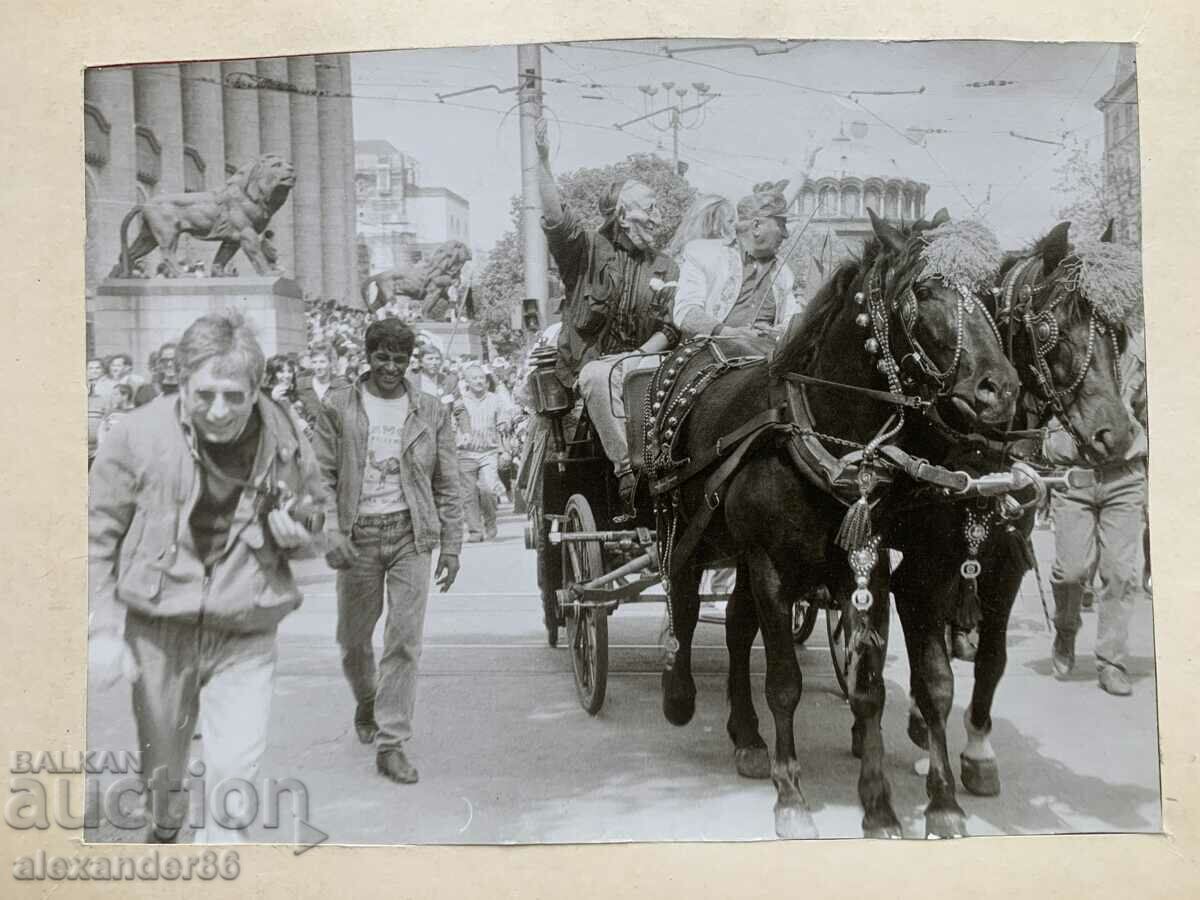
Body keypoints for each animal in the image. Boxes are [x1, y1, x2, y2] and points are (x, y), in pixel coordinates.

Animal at [662, 211, 1017, 840]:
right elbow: (784, 683)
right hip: (694, 525)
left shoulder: (869, 565)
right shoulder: (771, 567)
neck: (827, 440)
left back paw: (746, 735)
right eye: (925, 291)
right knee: (682, 591)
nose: (1001, 389)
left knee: (735, 627)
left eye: (991, 296)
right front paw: (791, 797)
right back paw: (679, 694)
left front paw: (882, 806)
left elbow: (875, 687)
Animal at [892, 220, 1132, 840]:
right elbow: (932, 668)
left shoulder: (1003, 561)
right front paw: (939, 779)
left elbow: (993, 659)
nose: (1117, 437)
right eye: (1051, 330)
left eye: (1122, 333)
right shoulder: (922, 564)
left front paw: (976, 750)